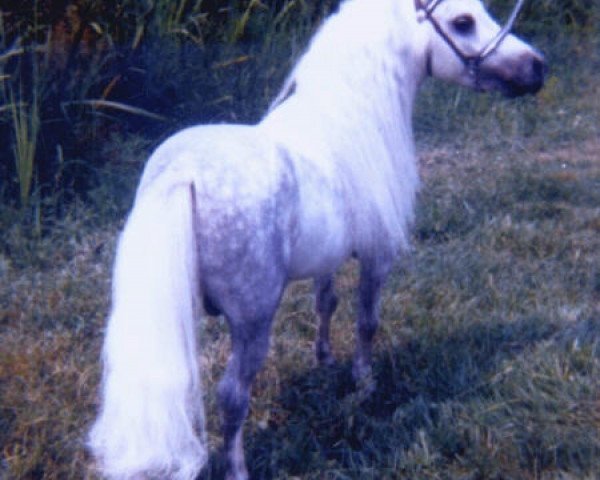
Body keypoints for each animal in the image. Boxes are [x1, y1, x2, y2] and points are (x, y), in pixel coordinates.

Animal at [88, 0, 544, 478]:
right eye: (463, 22)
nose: (537, 67)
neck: (346, 119)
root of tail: (185, 173)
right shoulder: (377, 254)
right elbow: (366, 321)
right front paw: (364, 382)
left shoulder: (330, 258)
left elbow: (327, 303)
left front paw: (324, 359)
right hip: (252, 323)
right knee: (233, 396)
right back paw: (238, 468)